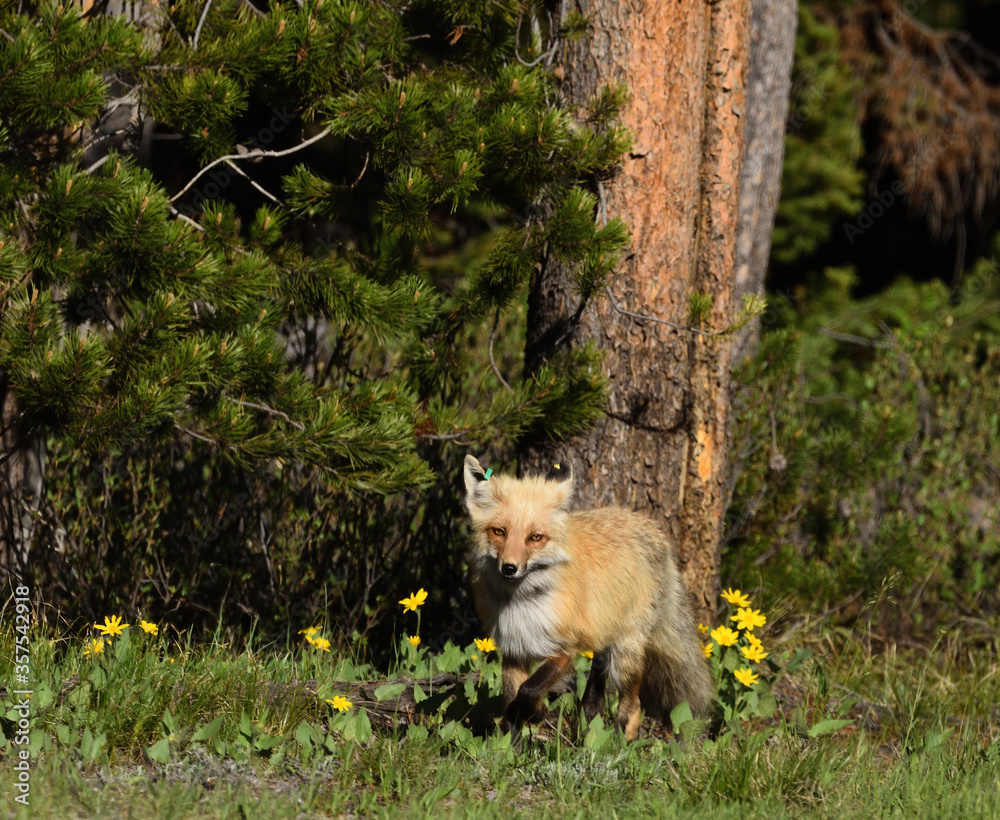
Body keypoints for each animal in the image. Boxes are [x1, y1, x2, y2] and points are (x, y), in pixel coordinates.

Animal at [463, 454, 712, 739]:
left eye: (535, 537)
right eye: (499, 532)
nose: (509, 568)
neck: (524, 604)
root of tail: (653, 529)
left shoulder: (565, 649)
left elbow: (528, 691)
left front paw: (536, 713)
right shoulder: (514, 650)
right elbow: (510, 708)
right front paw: (512, 743)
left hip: (625, 655)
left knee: (634, 705)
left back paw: (619, 743)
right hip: (604, 638)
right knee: (595, 695)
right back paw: (589, 730)